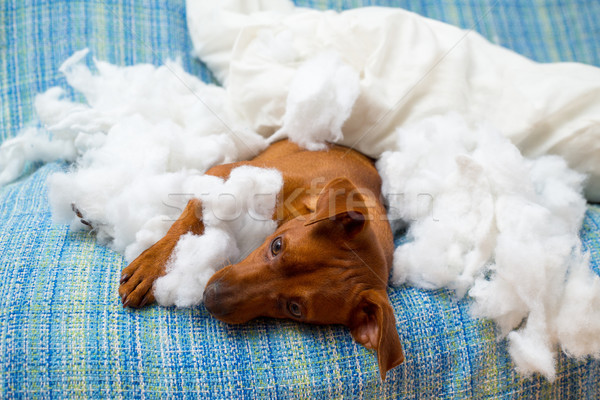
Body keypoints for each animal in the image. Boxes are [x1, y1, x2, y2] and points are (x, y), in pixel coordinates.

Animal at [118, 139, 404, 380]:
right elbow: (192, 216)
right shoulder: (225, 173)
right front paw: (152, 265)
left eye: (295, 309)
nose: (210, 298)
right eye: (277, 246)